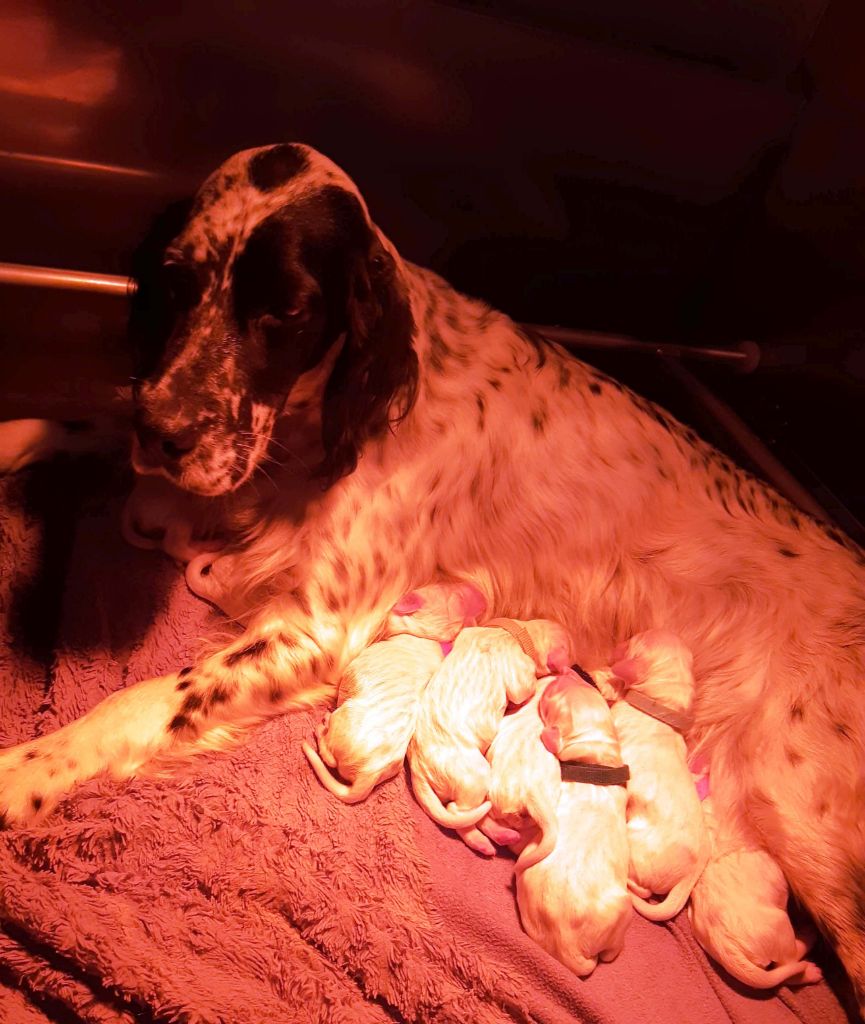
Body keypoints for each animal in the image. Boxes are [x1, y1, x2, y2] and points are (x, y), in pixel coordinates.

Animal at [300, 581, 483, 802]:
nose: (476, 590)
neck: (427, 637)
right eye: (447, 587)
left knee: (328, 754)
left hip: (342, 718)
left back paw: (322, 727)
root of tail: (368, 773)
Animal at [407, 618, 569, 835]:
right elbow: (525, 689)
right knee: (460, 813)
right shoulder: (520, 672)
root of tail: (417, 771)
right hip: (476, 776)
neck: (510, 631)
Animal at [515, 671, 630, 974]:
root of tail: (568, 949)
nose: (564, 672)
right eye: (550, 703)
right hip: (624, 909)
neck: (593, 761)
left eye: (585, 684)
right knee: (611, 952)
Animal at [601, 626, 708, 925]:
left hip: (635, 850)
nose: (619, 642)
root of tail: (690, 876)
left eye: (631, 641)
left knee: (643, 890)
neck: (659, 711)